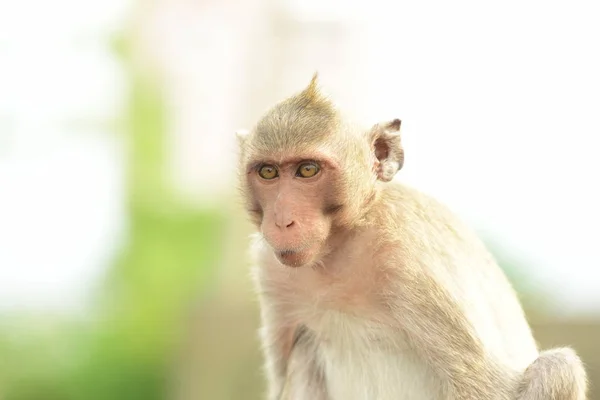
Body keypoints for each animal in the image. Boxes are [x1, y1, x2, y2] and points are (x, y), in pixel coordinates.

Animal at [234, 72, 584, 400]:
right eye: (268, 172)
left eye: (307, 170)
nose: (282, 220)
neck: (343, 243)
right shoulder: (271, 271)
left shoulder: (410, 265)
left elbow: (485, 386)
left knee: (557, 367)